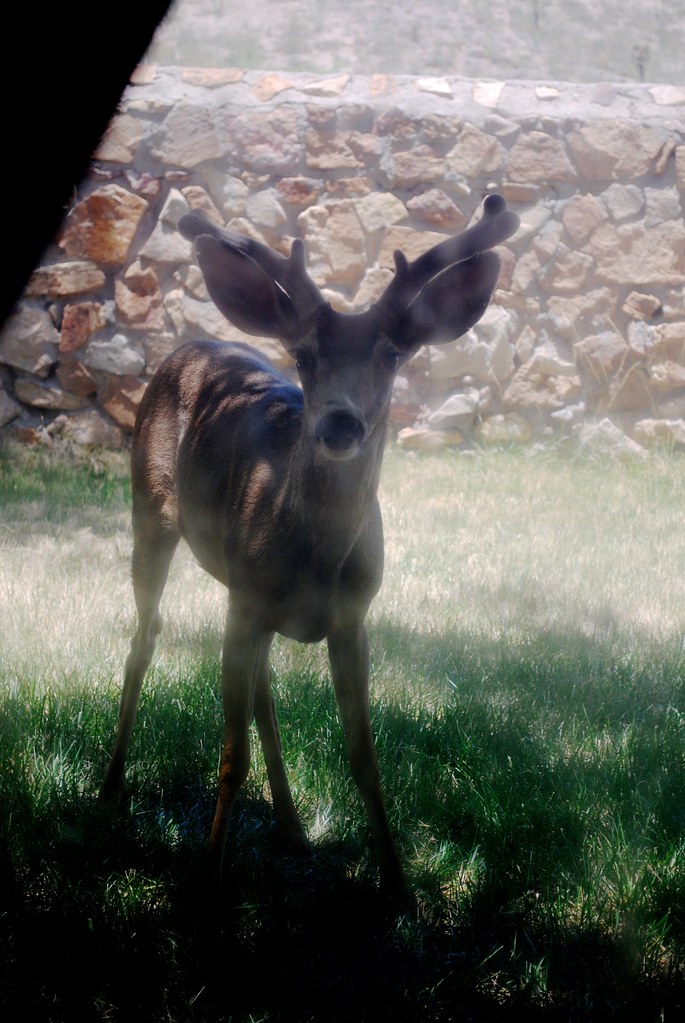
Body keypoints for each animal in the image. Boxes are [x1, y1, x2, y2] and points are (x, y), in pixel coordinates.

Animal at [98, 192, 520, 908]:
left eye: (392, 355)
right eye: (304, 355)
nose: (341, 423)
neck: (316, 562)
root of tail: (191, 344)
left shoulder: (352, 618)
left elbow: (364, 756)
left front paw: (397, 883)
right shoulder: (243, 603)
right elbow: (230, 755)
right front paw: (206, 880)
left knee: (261, 685)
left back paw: (293, 827)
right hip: (150, 513)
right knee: (144, 639)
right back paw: (109, 785)